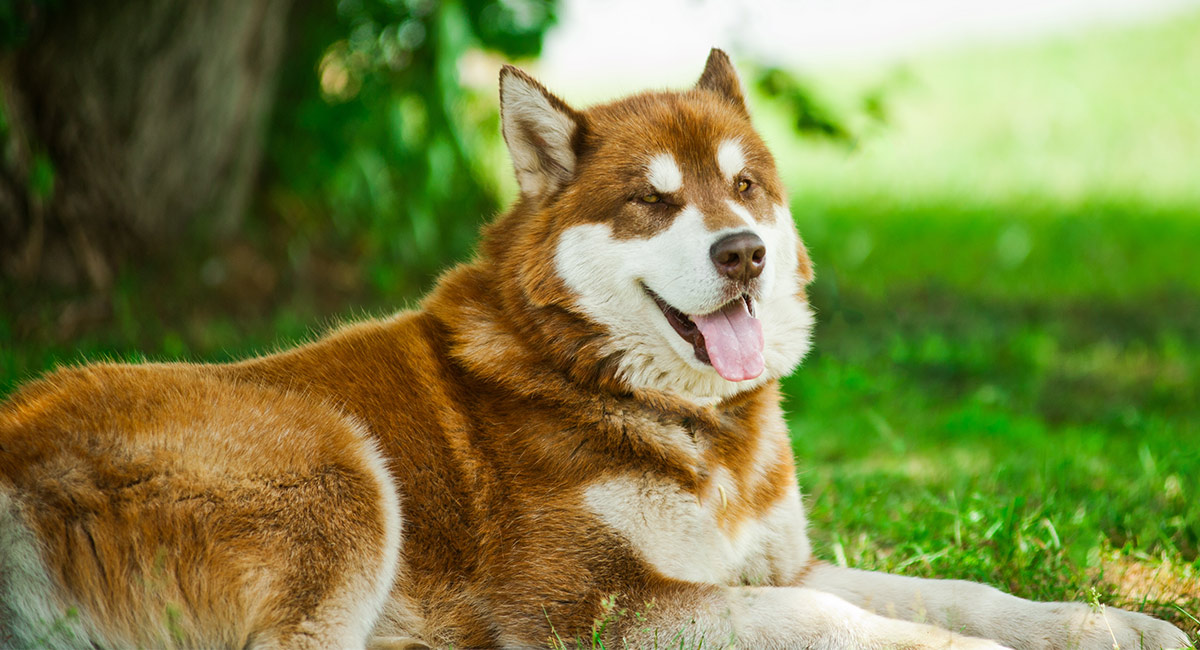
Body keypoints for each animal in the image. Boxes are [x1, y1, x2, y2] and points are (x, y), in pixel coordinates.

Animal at [0, 48, 1185, 647]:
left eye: (743, 185)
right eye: (652, 203)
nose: (745, 250)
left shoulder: (774, 557)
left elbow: (958, 592)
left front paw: (1105, 622)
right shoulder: (598, 602)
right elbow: (839, 619)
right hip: (339, 477)